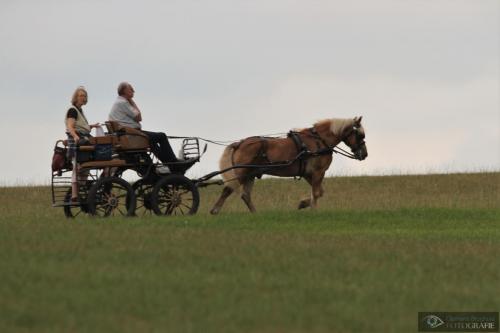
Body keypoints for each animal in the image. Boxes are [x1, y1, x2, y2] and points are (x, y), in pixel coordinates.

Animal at [209, 116, 370, 215]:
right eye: (360, 135)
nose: (364, 154)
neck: (319, 141)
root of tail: (240, 143)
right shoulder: (318, 172)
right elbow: (316, 193)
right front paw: (312, 209)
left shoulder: (308, 174)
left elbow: (319, 192)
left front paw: (303, 204)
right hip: (242, 173)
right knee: (228, 190)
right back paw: (215, 210)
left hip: (251, 175)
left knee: (245, 195)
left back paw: (256, 214)